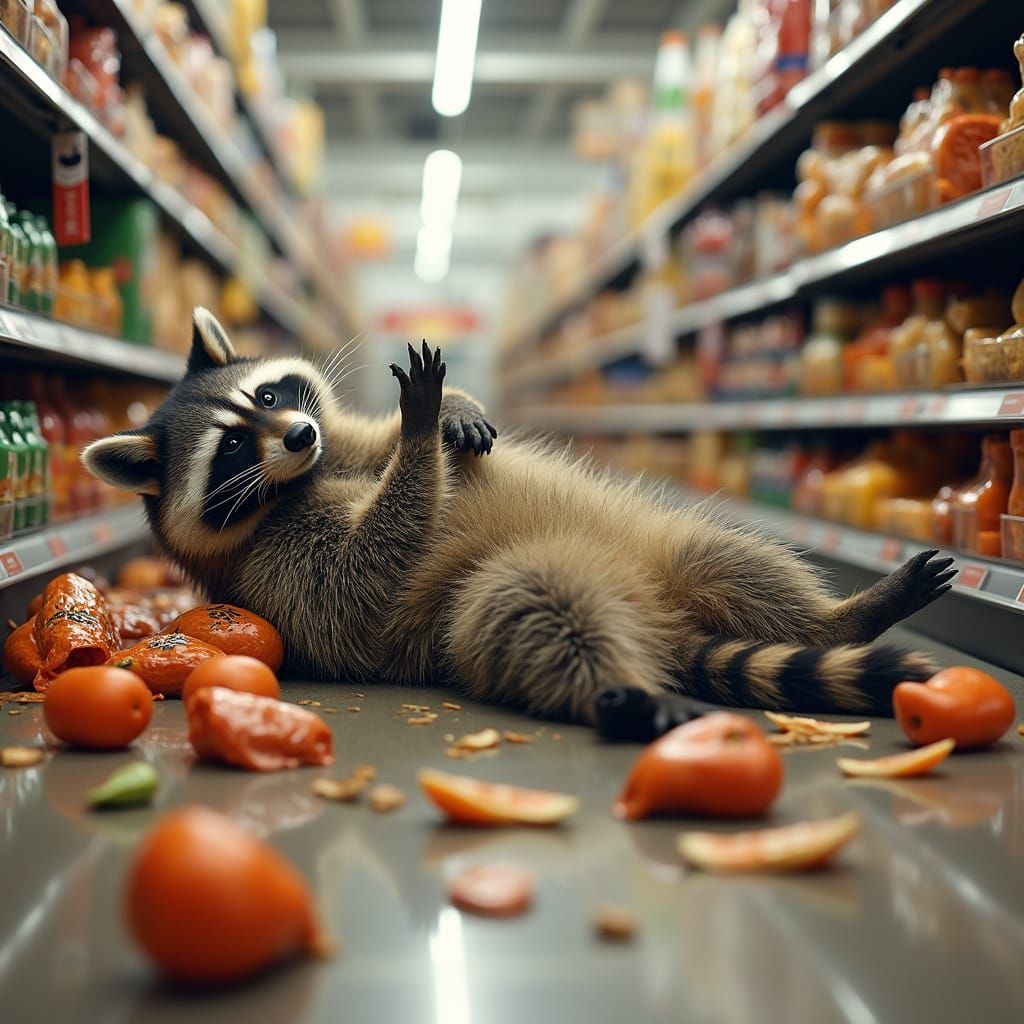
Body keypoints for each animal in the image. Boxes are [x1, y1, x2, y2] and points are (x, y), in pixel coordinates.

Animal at [83, 308, 956, 721]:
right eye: (233, 447)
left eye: (268, 396)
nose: (298, 435)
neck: (300, 479)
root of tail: (662, 628)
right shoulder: (274, 572)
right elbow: (360, 575)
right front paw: (421, 446)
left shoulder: (344, 442)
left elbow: (383, 438)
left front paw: (450, 413)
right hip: (499, 597)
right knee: (536, 612)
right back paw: (621, 689)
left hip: (673, 558)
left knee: (733, 560)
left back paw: (838, 619)